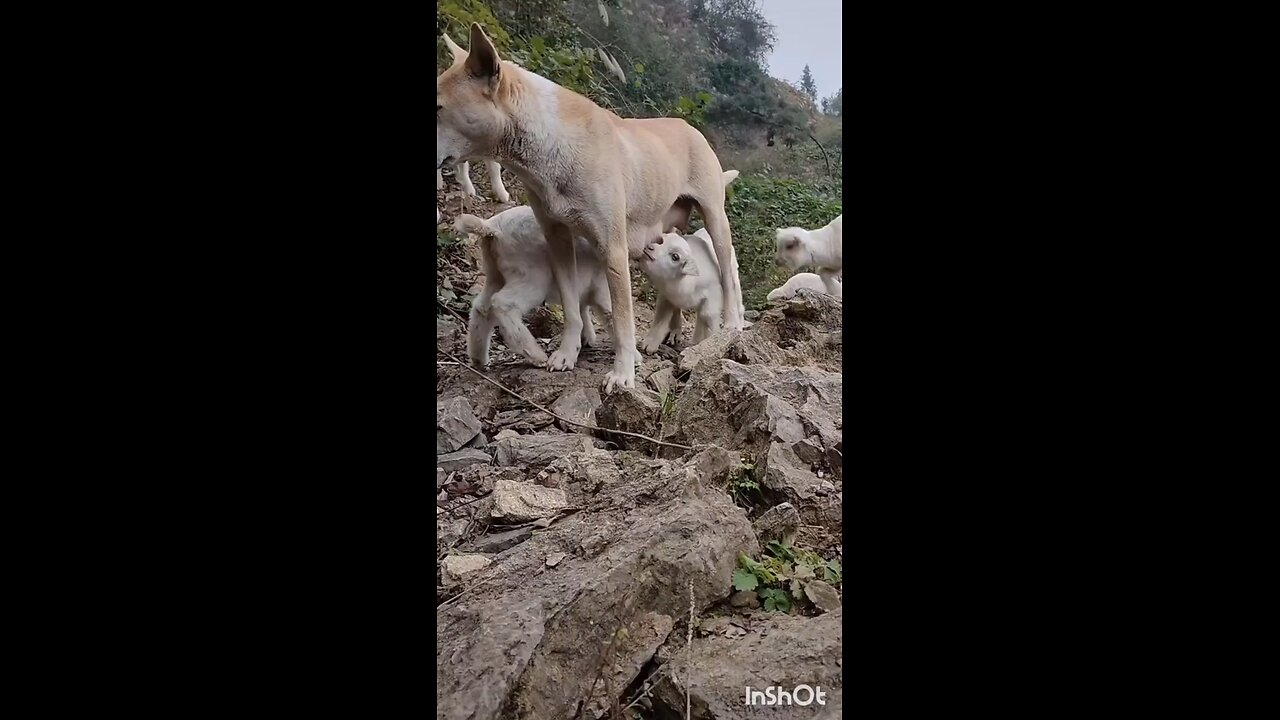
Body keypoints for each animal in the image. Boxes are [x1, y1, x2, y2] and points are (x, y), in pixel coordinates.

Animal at [437, 23, 747, 392]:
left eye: (437, 108)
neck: (552, 141)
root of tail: (689, 128)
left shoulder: (612, 248)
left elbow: (623, 320)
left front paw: (623, 373)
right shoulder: (557, 239)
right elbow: (573, 308)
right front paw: (567, 353)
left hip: (715, 220)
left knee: (727, 277)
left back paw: (731, 325)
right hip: (671, 227)